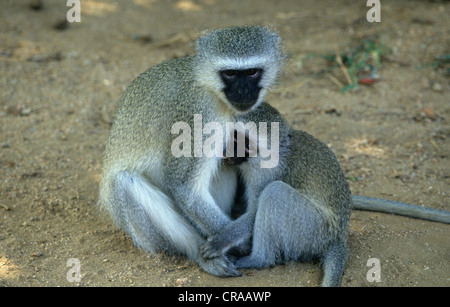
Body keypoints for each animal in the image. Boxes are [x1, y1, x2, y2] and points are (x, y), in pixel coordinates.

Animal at [99, 25, 284, 276]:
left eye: (252, 72)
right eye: (230, 74)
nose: (243, 92)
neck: (211, 88)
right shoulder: (200, 113)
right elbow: (185, 188)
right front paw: (236, 239)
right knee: (125, 182)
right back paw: (200, 252)